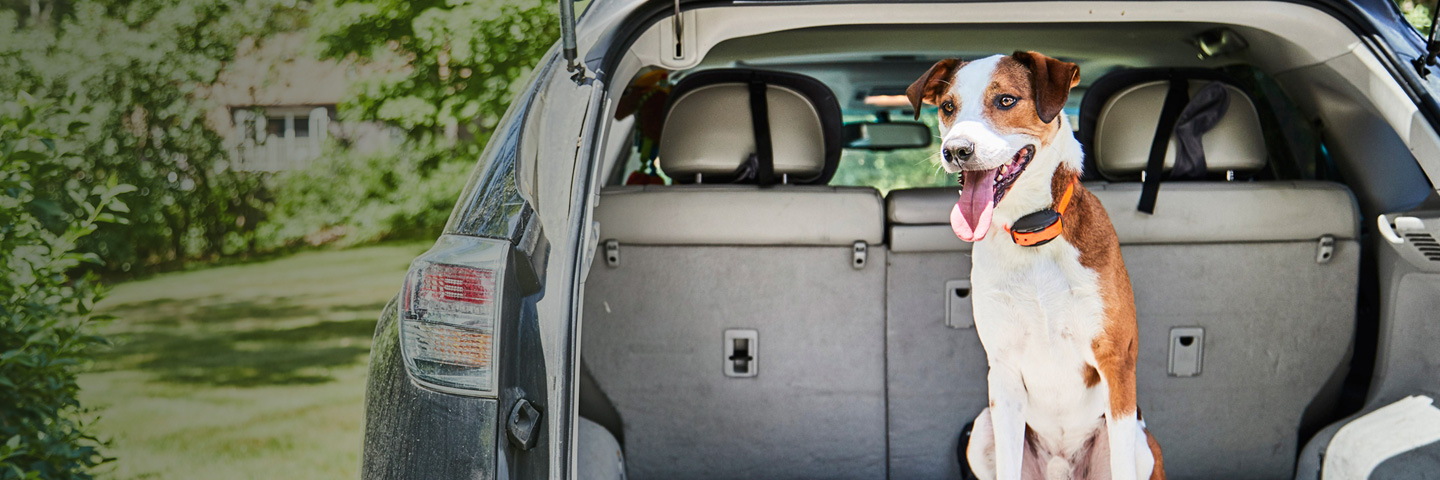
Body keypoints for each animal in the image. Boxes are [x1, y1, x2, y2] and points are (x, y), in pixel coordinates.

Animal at [910, 52, 1169, 478]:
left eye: (1006, 101)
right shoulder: (1004, 373)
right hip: (982, 430)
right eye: (948, 107)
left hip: (1140, 444)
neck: (1030, 230)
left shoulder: (1115, 361)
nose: (956, 150)